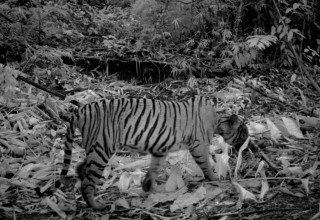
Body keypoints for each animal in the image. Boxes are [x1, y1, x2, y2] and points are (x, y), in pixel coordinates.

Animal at [56, 96, 249, 210]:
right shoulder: (199, 145)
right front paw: (216, 179)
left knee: (81, 167)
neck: (217, 119)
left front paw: (147, 186)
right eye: (244, 131)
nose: (249, 141)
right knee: (87, 182)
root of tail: (81, 110)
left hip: (95, 148)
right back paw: (96, 205)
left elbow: (154, 168)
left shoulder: (160, 149)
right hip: (101, 148)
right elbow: (207, 165)